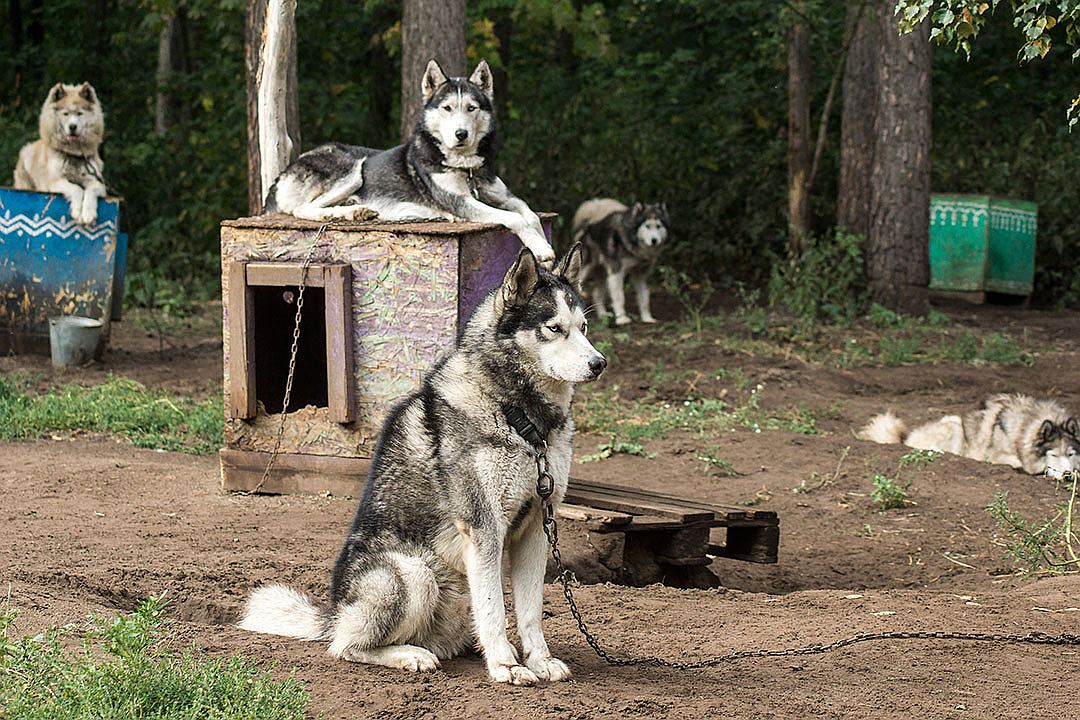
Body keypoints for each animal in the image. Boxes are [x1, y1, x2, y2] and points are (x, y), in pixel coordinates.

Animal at [13, 80, 106, 225]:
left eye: (80, 113)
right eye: (65, 113)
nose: (72, 127)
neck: (72, 153)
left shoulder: (98, 183)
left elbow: (90, 191)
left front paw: (88, 214)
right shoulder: (54, 181)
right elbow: (77, 189)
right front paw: (77, 212)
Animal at [239, 243, 604, 686]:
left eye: (583, 327)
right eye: (554, 328)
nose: (599, 363)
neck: (519, 416)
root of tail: (334, 613)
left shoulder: (535, 526)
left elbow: (529, 612)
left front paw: (539, 660)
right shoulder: (483, 528)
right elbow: (496, 609)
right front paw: (505, 666)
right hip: (413, 573)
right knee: (345, 647)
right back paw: (408, 655)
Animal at [262, 58, 557, 262]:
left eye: (471, 108)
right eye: (447, 108)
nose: (461, 134)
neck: (465, 168)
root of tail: (283, 174)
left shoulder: (503, 195)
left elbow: (531, 214)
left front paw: (545, 248)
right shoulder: (462, 202)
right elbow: (515, 219)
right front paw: (541, 249)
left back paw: (358, 210)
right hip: (353, 168)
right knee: (303, 209)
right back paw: (344, 213)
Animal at [859, 395, 1080, 479]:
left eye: (1070, 454)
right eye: (1053, 455)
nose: (1068, 476)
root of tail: (904, 439)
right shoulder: (994, 454)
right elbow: (1018, 462)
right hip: (955, 424)